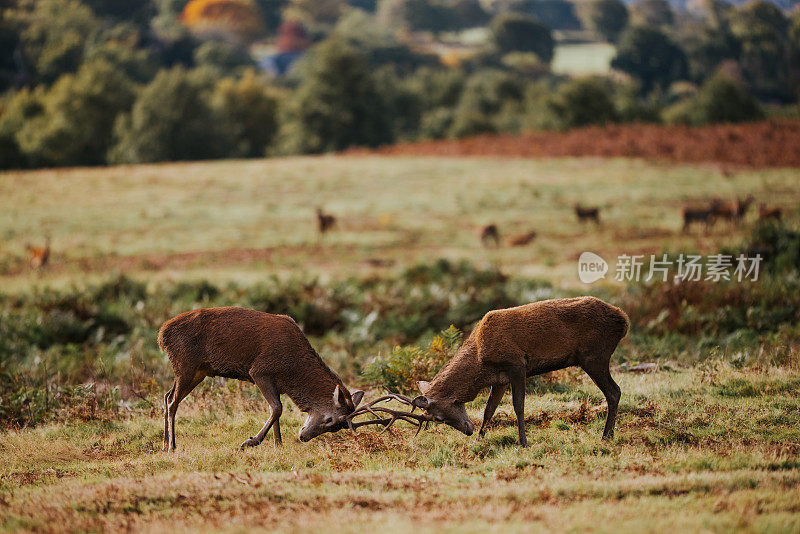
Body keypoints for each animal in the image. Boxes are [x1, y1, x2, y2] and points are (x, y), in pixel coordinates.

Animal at [155, 308, 366, 454]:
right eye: (330, 420)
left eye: (337, 428)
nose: (303, 436)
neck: (292, 372)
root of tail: (162, 334)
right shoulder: (260, 371)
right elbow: (277, 408)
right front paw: (251, 442)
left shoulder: (277, 383)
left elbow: (275, 410)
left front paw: (278, 444)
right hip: (185, 365)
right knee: (172, 401)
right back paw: (172, 445)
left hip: (199, 371)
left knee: (166, 396)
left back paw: (164, 444)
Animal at [412, 298, 632, 448]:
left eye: (439, 418)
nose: (468, 430)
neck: (480, 361)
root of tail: (624, 320)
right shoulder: (499, 379)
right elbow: (489, 409)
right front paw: (481, 439)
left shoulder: (517, 365)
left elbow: (519, 405)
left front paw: (523, 442)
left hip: (594, 356)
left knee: (614, 391)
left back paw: (606, 436)